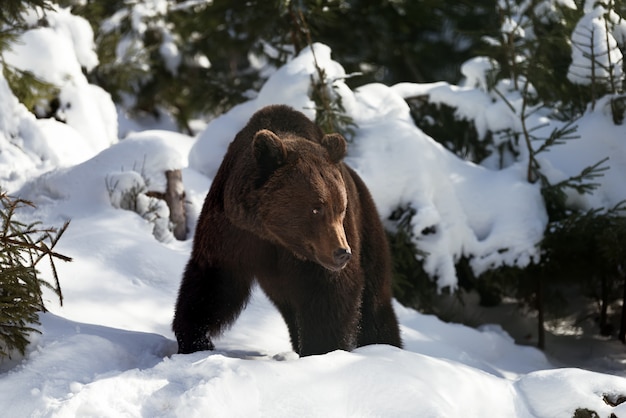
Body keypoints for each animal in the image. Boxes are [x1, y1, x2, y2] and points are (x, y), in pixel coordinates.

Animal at [171, 104, 400, 356]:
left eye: (340, 207)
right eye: (316, 208)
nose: (342, 252)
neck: (274, 235)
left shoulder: (319, 258)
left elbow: (331, 295)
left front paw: (321, 349)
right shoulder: (233, 231)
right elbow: (213, 282)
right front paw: (195, 340)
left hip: (368, 233)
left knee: (375, 304)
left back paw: (384, 346)